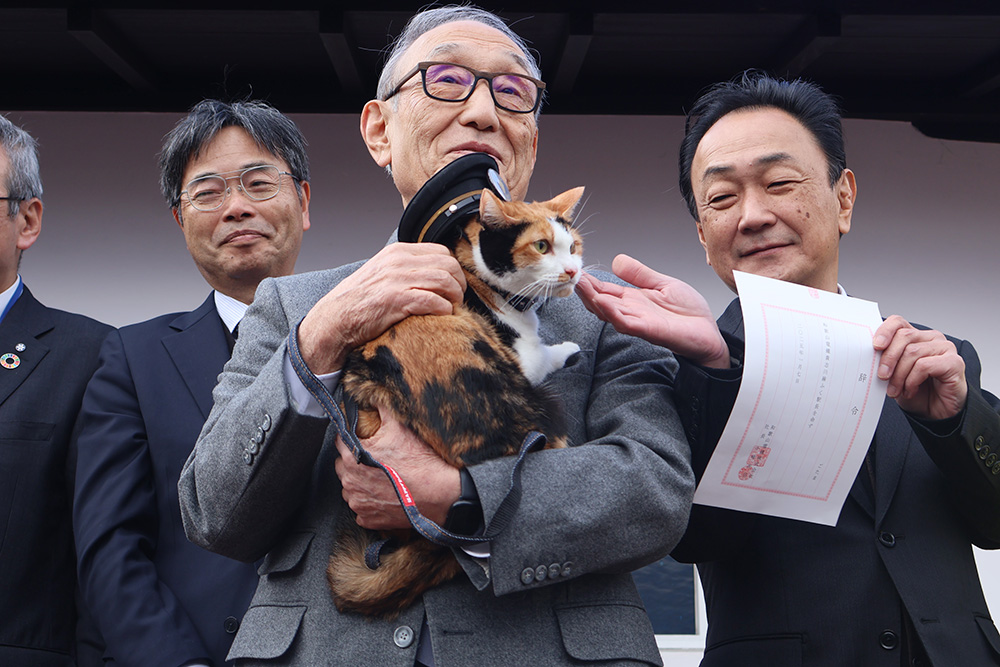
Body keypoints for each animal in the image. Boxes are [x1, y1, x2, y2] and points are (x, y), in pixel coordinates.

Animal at [328, 185, 584, 620]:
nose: (572, 272)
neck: (474, 274)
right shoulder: (526, 357)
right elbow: (545, 355)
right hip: (539, 410)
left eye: (574, 246)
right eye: (541, 246)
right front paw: (569, 350)